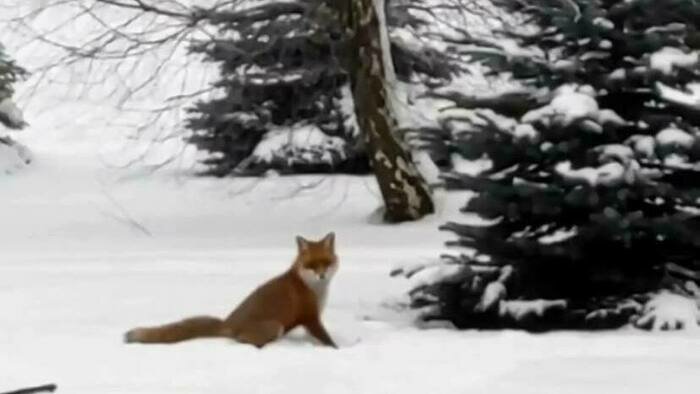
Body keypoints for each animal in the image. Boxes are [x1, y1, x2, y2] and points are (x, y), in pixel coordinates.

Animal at [125, 234, 340, 348]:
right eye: (311, 265)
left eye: (326, 263)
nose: (322, 275)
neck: (314, 289)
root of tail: (228, 322)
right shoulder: (310, 317)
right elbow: (328, 342)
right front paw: (336, 350)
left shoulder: (310, 320)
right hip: (275, 326)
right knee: (243, 342)